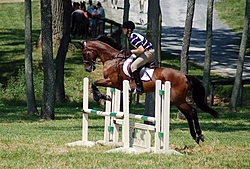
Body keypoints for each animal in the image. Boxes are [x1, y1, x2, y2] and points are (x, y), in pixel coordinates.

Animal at [78, 36, 219, 144]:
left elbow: (94, 84)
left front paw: (100, 98)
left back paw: (199, 135)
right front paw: (105, 98)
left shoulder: (112, 82)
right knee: (189, 114)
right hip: (177, 100)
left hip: (177, 99)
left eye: (84, 53)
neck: (112, 59)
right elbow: (95, 85)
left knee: (193, 112)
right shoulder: (114, 85)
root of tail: (184, 75)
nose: (88, 69)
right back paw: (195, 136)